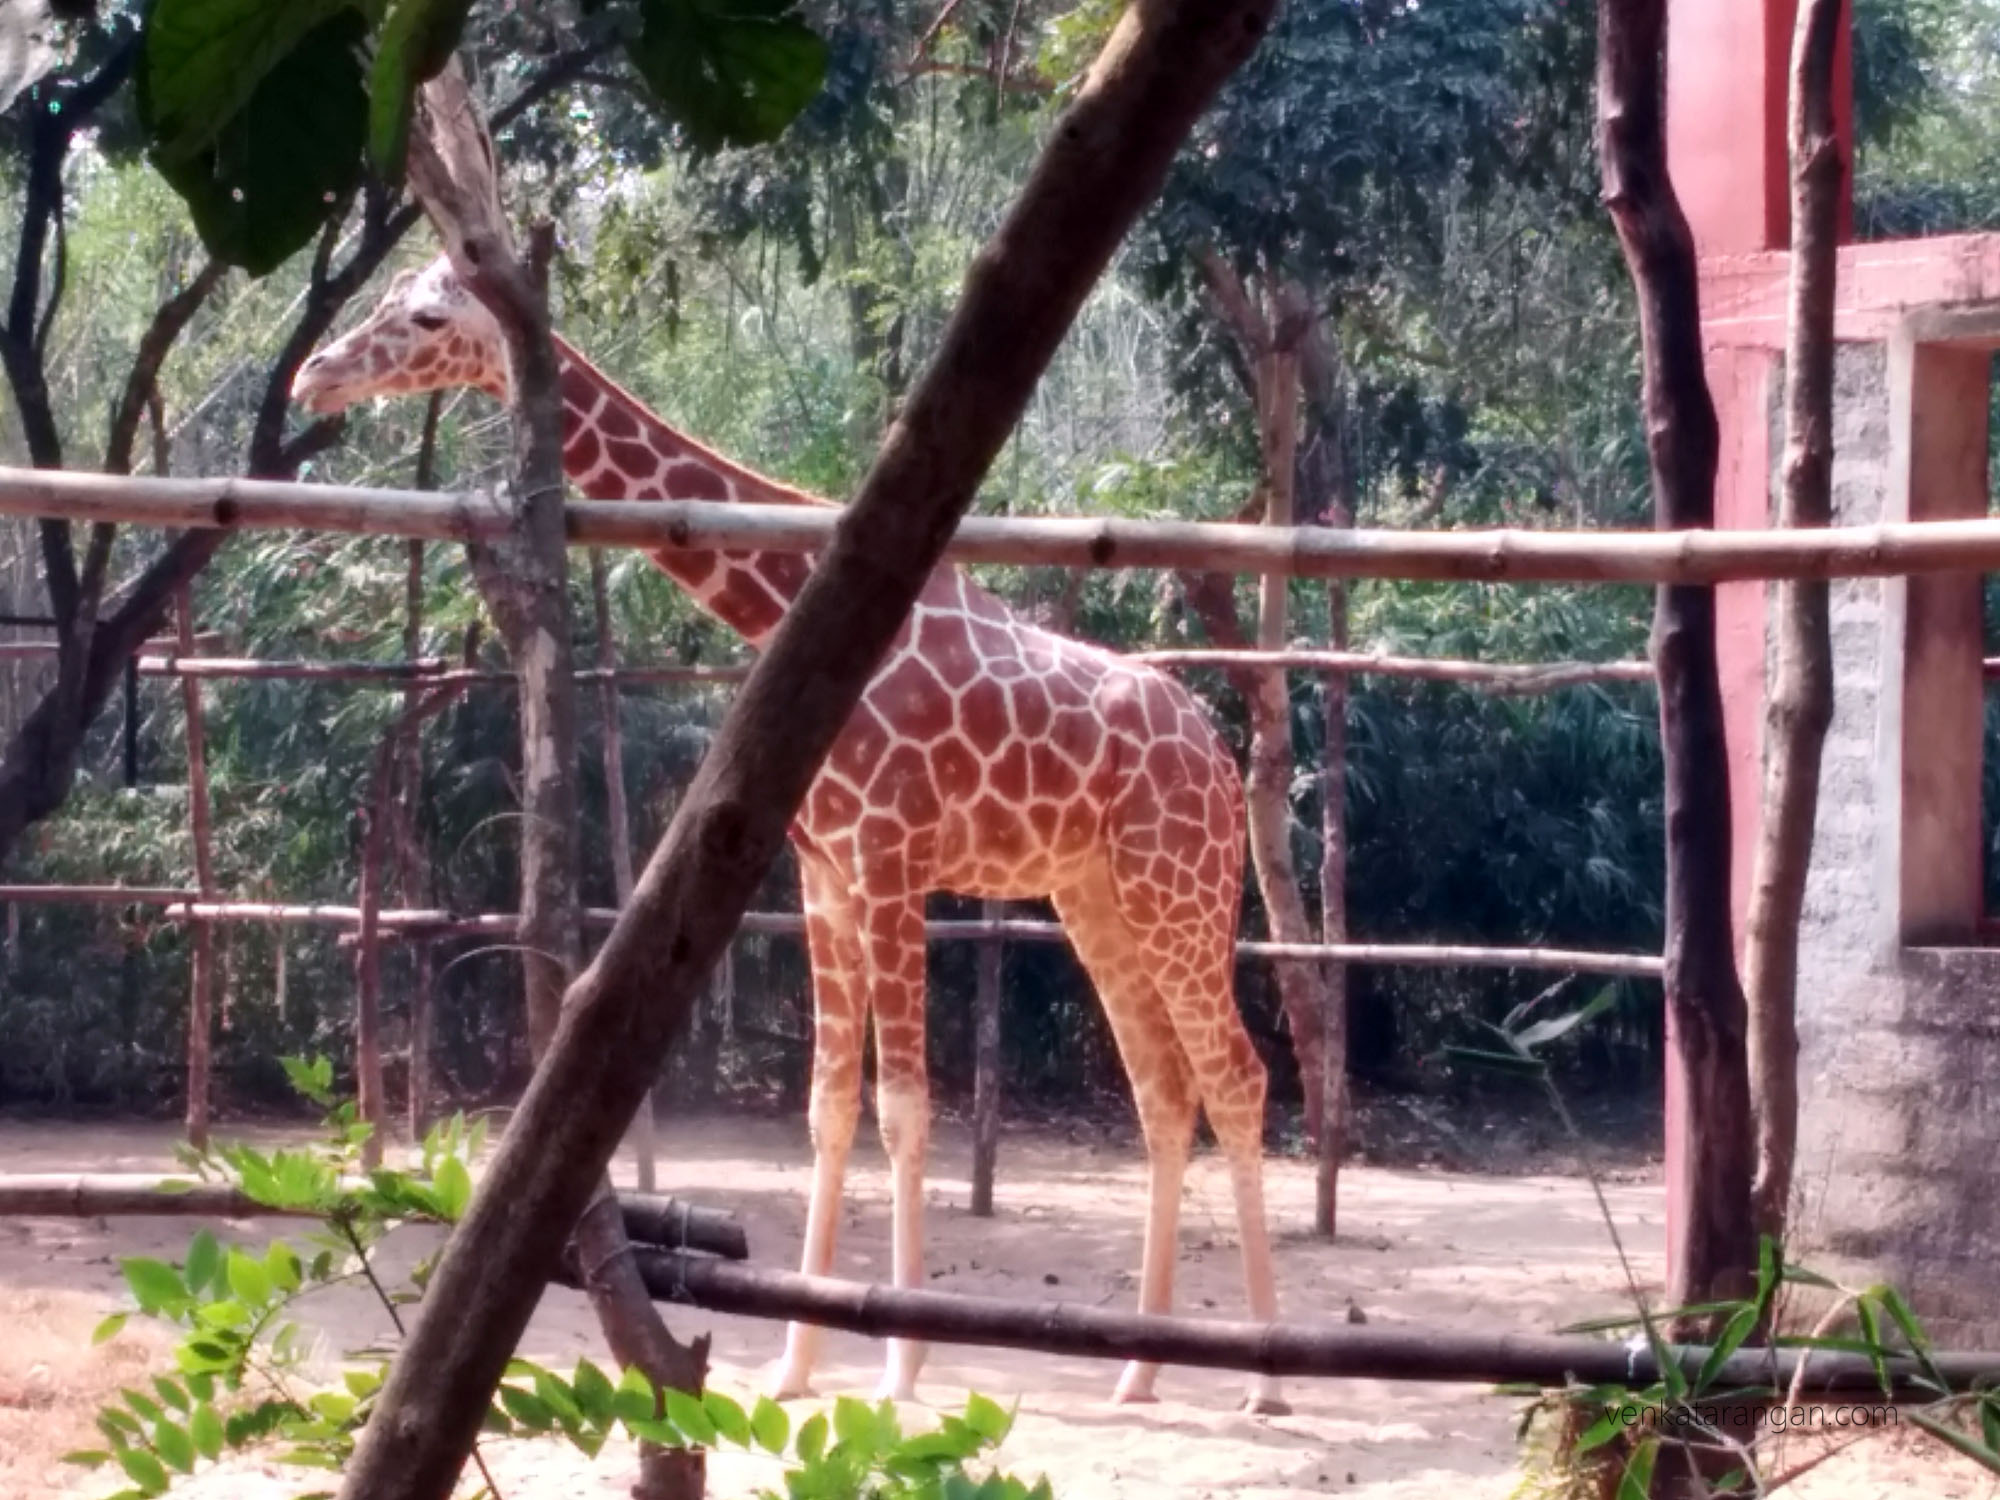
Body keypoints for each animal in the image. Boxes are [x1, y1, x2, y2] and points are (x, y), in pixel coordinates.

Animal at [293, 254, 1287, 1413]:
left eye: (423, 318)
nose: (315, 374)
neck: (792, 614)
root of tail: (1218, 757)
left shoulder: (894, 859)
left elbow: (904, 1108)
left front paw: (900, 1368)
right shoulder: (824, 870)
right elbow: (827, 1108)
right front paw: (796, 1364)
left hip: (1183, 887)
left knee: (1236, 1077)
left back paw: (1265, 1379)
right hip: (1095, 897)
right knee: (1163, 1092)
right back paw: (1136, 1371)